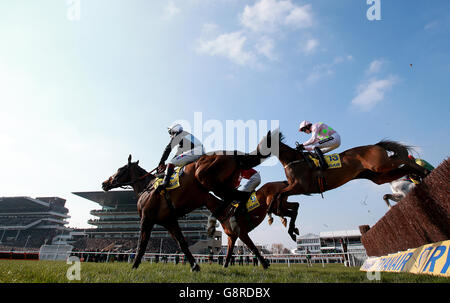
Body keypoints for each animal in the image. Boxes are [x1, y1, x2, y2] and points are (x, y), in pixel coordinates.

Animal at [101, 156, 292, 272]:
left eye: (120, 169)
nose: (104, 183)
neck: (147, 189)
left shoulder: (146, 220)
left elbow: (141, 244)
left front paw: (134, 265)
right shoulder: (169, 221)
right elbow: (182, 243)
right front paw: (195, 266)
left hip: (211, 182)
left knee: (239, 196)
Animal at [260, 129, 432, 205]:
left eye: (264, 143)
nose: (256, 153)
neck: (294, 160)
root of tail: (375, 145)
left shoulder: (301, 186)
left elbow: (278, 194)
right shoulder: (295, 188)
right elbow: (278, 194)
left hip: (380, 165)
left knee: (403, 159)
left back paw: (423, 170)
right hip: (379, 176)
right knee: (403, 168)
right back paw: (422, 174)